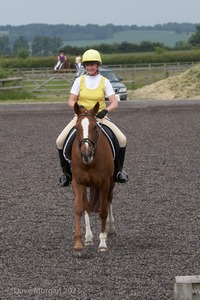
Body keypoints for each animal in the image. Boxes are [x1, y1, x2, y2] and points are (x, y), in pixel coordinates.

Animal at [71, 102, 115, 252]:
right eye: (76, 128)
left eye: (95, 127)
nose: (86, 154)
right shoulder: (78, 183)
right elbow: (79, 209)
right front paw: (79, 243)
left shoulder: (104, 183)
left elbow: (103, 211)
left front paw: (102, 244)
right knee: (87, 207)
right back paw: (89, 238)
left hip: (111, 183)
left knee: (109, 201)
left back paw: (111, 229)